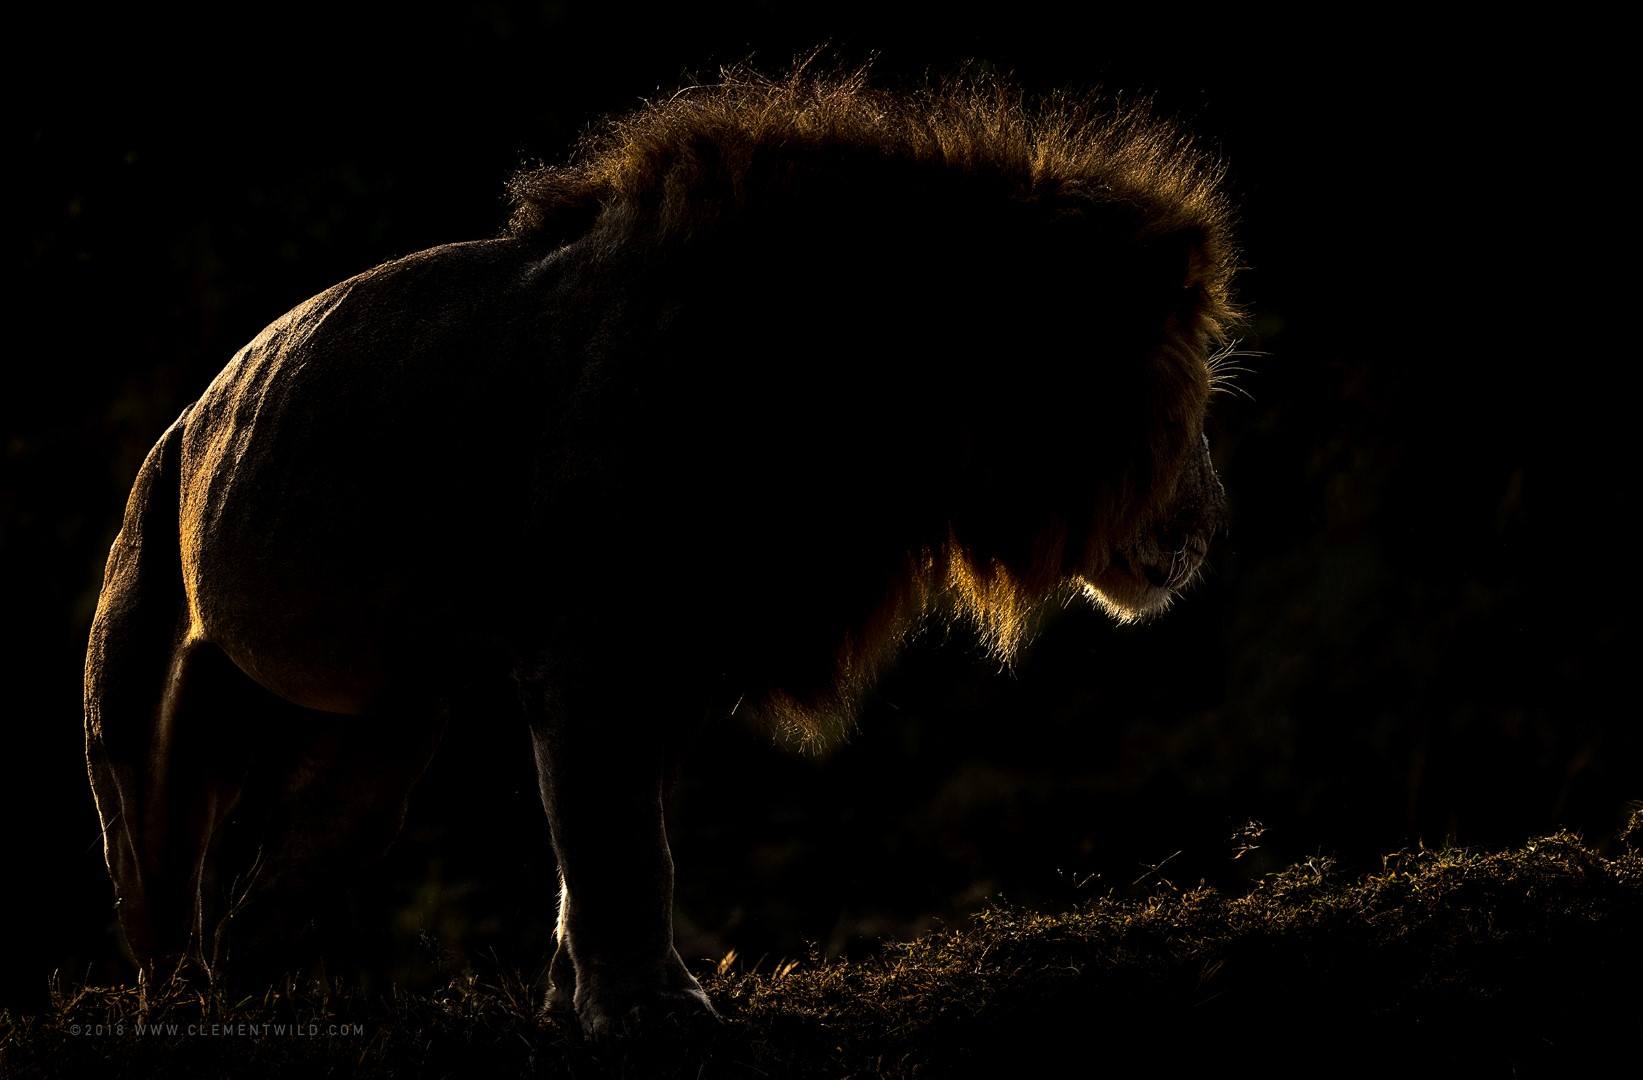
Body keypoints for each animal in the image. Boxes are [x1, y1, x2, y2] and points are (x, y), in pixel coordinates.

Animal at [80, 65, 1235, 1025]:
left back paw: (265, 992)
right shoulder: (594, 651)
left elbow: (609, 846)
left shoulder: (687, 647)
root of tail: (174, 434)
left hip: (379, 732)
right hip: (141, 696)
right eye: (1183, 410)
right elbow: (621, 840)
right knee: (153, 871)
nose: (1209, 522)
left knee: (278, 876)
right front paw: (647, 1009)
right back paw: (175, 1001)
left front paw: (575, 996)